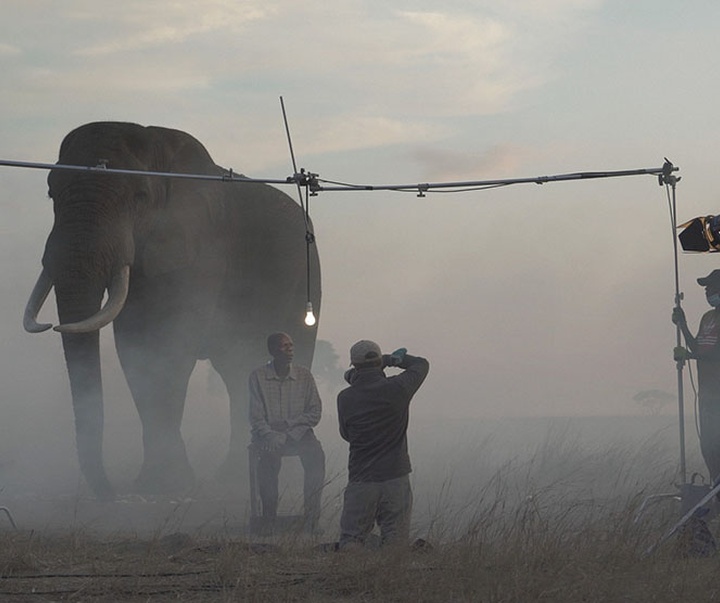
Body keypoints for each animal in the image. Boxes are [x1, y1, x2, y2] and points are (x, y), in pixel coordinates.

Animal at [23, 121, 320, 500]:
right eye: (51, 194)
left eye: (139, 197)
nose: (115, 494)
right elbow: (136, 348)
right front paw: (154, 488)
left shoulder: (201, 246)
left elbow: (169, 345)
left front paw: (169, 487)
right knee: (237, 368)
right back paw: (232, 476)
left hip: (306, 279)